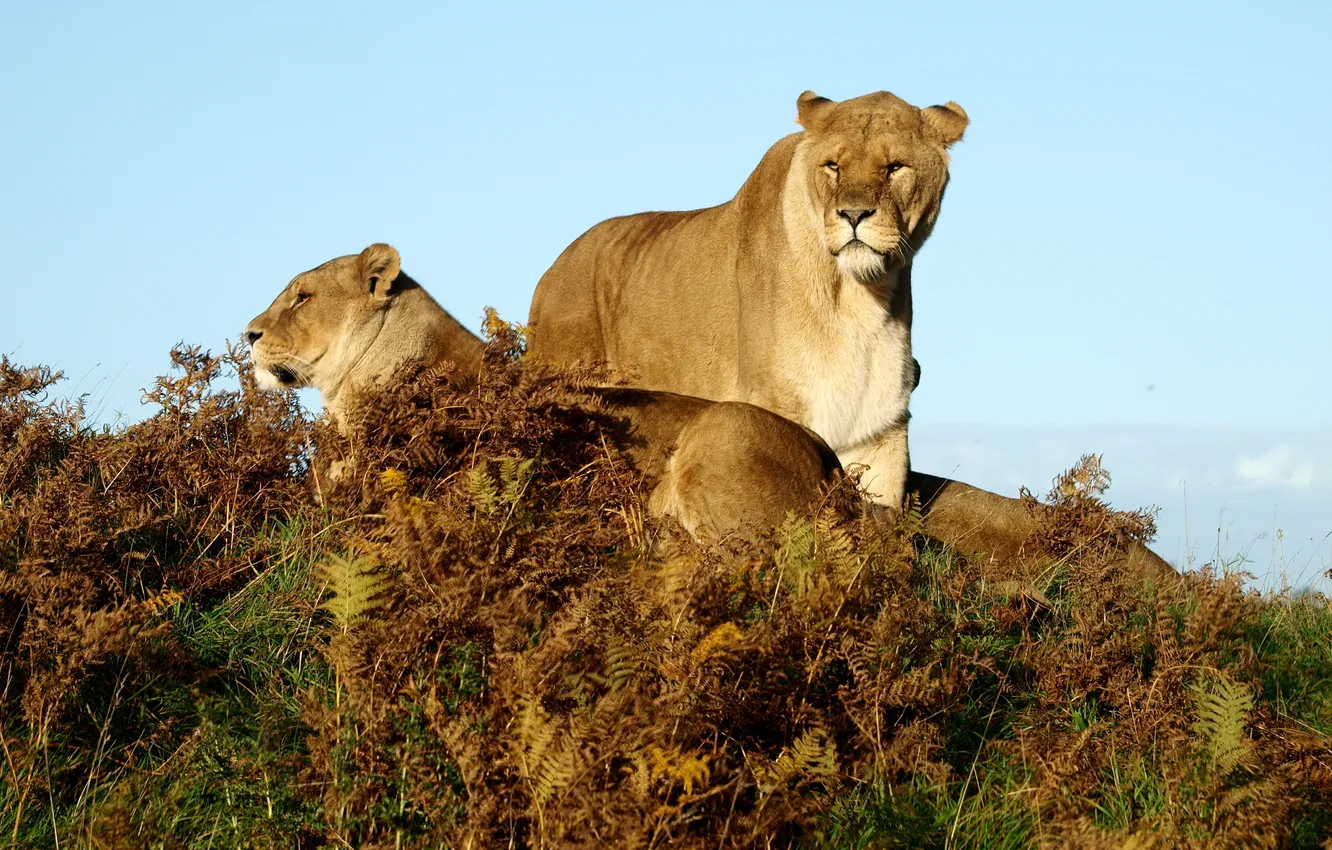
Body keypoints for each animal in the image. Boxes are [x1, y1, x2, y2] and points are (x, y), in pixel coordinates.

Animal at [528, 89, 969, 513]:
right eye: (833, 166)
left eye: (895, 166)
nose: (854, 214)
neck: (856, 299)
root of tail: (554, 266)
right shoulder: (778, 404)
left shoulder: (881, 433)